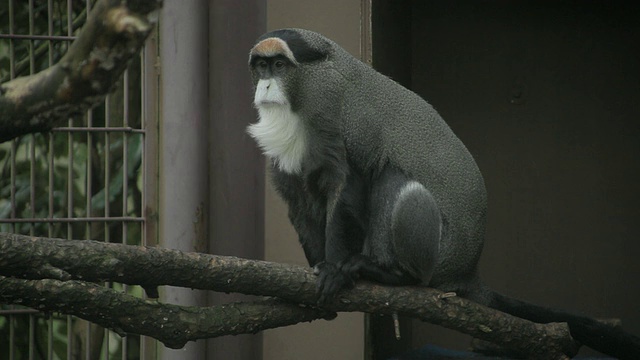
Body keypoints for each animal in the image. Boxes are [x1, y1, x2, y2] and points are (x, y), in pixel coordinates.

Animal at [246, 28, 640, 360]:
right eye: (262, 67)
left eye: (280, 66)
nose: (264, 86)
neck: (316, 85)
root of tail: (467, 271)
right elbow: (302, 205)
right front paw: (314, 278)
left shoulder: (345, 128)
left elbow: (349, 187)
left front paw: (334, 271)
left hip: (439, 255)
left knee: (393, 178)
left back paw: (392, 274)